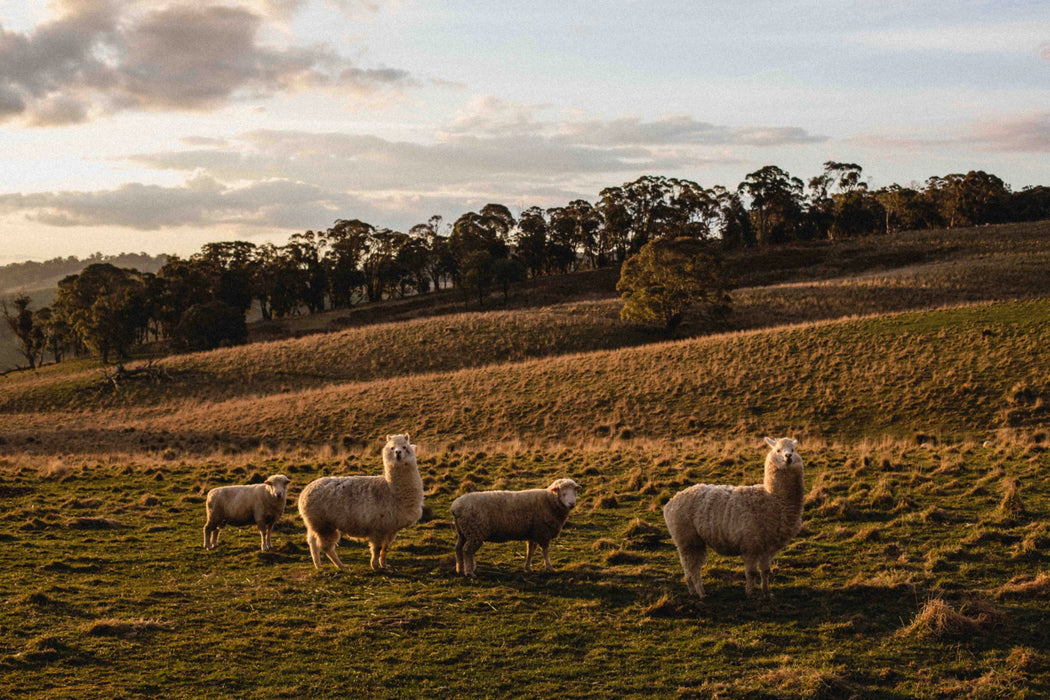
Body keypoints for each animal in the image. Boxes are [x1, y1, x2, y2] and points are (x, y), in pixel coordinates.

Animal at [296, 434, 422, 570]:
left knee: (312, 542)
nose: (398, 453)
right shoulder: (378, 527)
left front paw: (384, 565)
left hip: (314, 524)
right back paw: (341, 566)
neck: (391, 491)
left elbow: (385, 548)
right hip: (324, 524)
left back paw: (318, 565)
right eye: (392, 448)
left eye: (404, 447)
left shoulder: (391, 528)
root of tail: (303, 494)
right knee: (326, 547)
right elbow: (377, 548)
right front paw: (375, 566)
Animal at [451, 478, 583, 579]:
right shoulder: (543, 533)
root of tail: (455, 507)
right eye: (563, 494)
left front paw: (528, 567)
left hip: (463, 532)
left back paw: (460, 569)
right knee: (467, 551)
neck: (549, 500)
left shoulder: (533, 533)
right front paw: (550, 567)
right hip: (475, 532)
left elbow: (530, 551)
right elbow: (545, 551)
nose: (572, 504)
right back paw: (469, 572)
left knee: (458, 548)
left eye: (574, 493)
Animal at [663, 438, 802, 596]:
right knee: (693, 567)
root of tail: (671, 502)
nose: (788, 457)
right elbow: (751, 573)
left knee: (687, 568)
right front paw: (750, 593)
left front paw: (767, 592)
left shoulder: (765, 545)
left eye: (793, 449)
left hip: (690, 540)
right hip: (687, 539)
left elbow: (766, 571)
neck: (774, 499)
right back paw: (701, 593)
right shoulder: (750, 544)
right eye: (778, 450)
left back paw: (692, 590)